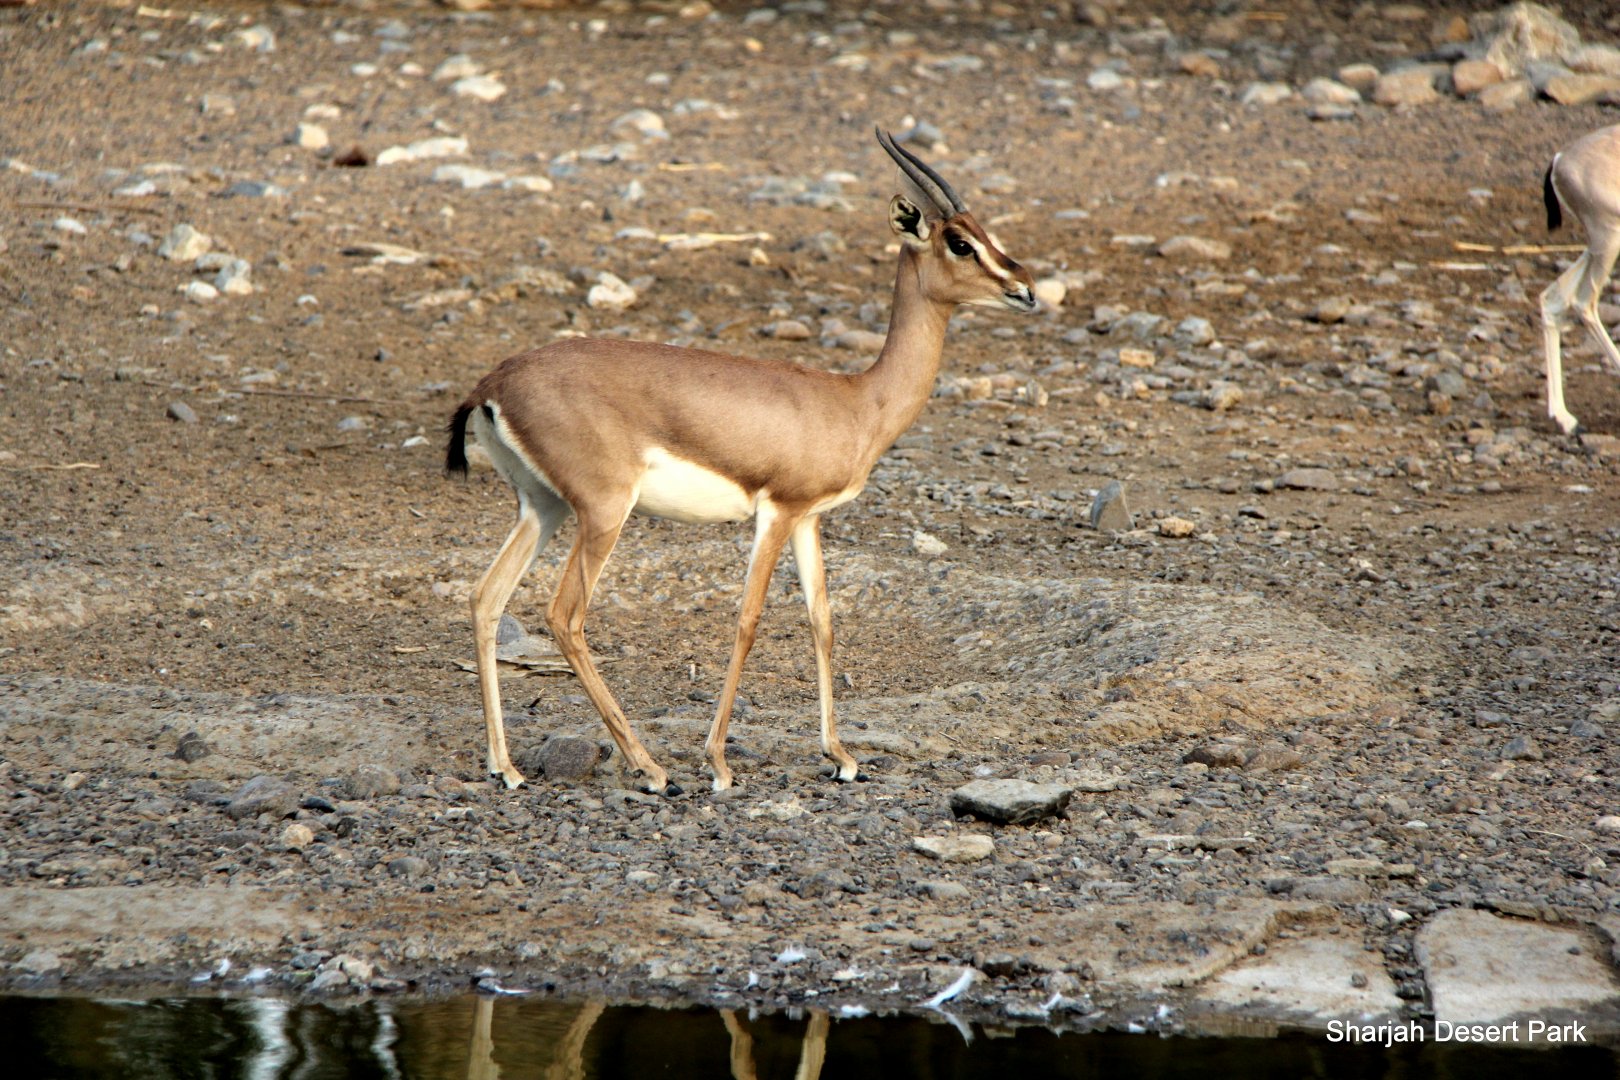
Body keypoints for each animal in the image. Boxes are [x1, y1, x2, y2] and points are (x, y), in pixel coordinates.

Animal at [446, 129, 1036, 795]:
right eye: (960, 242)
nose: (1025, 288)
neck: (857, 401)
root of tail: (492, 384)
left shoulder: (809, 519)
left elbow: (821, 619)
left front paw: (841, 755)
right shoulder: (776, 513)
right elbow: (749, 619)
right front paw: (719, 763)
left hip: (541, 508)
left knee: (486, 597)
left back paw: (507, 766)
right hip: (602, 512)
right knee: (565, 614)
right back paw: (649, 767)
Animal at [1541, 122, 1620, 436]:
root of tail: (1560, 159)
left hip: (1598, 245)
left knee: (1553, 298)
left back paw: (1564, 417)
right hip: (1608, 239)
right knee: (1583, 302)